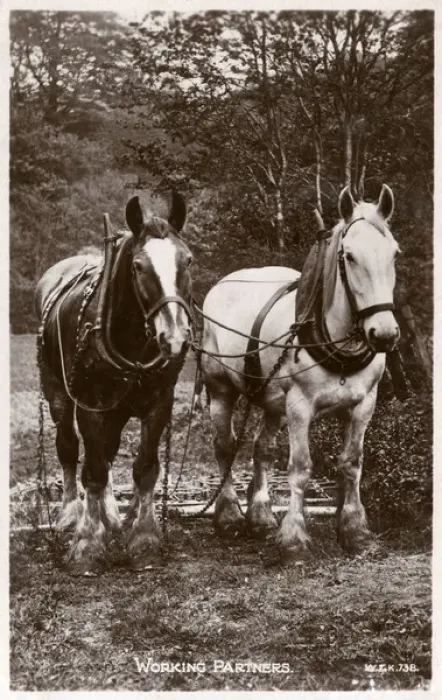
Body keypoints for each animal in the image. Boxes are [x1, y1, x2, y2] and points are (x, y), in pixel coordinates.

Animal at [35, 191, 193, 575]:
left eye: (188, 260)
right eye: (138, 267)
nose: (175, 338)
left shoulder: (159, 401)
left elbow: (145, 467)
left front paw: (144, 536)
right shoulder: (90, 402)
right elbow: (91, 470)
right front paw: (87, 543)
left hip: (118, 406)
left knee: (106, 451)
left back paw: (113, 515)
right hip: (58, 393)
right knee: (70, 448)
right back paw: (71, 515)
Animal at [200, 185, 400, 561]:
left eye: (394, 254)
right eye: (349, 256)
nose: (384, 334)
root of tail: (222, 284)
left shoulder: (363, 404)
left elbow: (352, 464)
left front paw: (355, 531)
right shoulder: (299, 406)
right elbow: (300, 468)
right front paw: (294, 538)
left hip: (271, 401)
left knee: (261, 450)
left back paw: (261, 517)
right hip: (220, 389)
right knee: (225, 446)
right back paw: (229, 515)